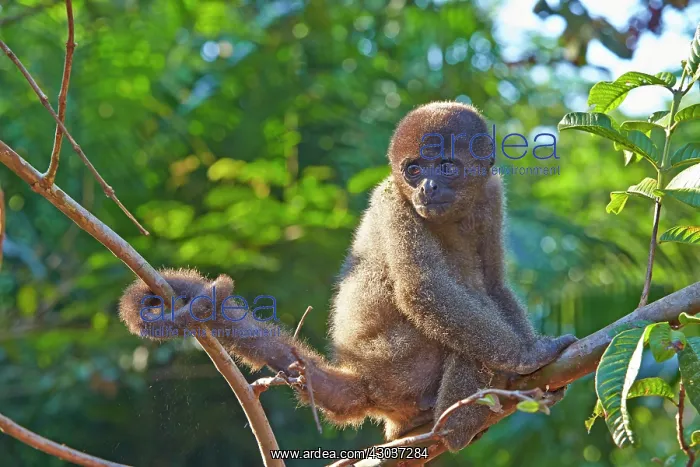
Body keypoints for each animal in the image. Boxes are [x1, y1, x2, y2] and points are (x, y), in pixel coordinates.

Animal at [119, 101, 576, 453]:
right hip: (397, 368)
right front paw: (527, 357)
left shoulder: (491, 193)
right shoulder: (394, 202)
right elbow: (424, 291)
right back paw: (453, 428)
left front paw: (533, 372)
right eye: (413, 170)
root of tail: (363, 381)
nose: (426, 187)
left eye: (445, 166)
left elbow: (496, 285)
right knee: (457, 328)